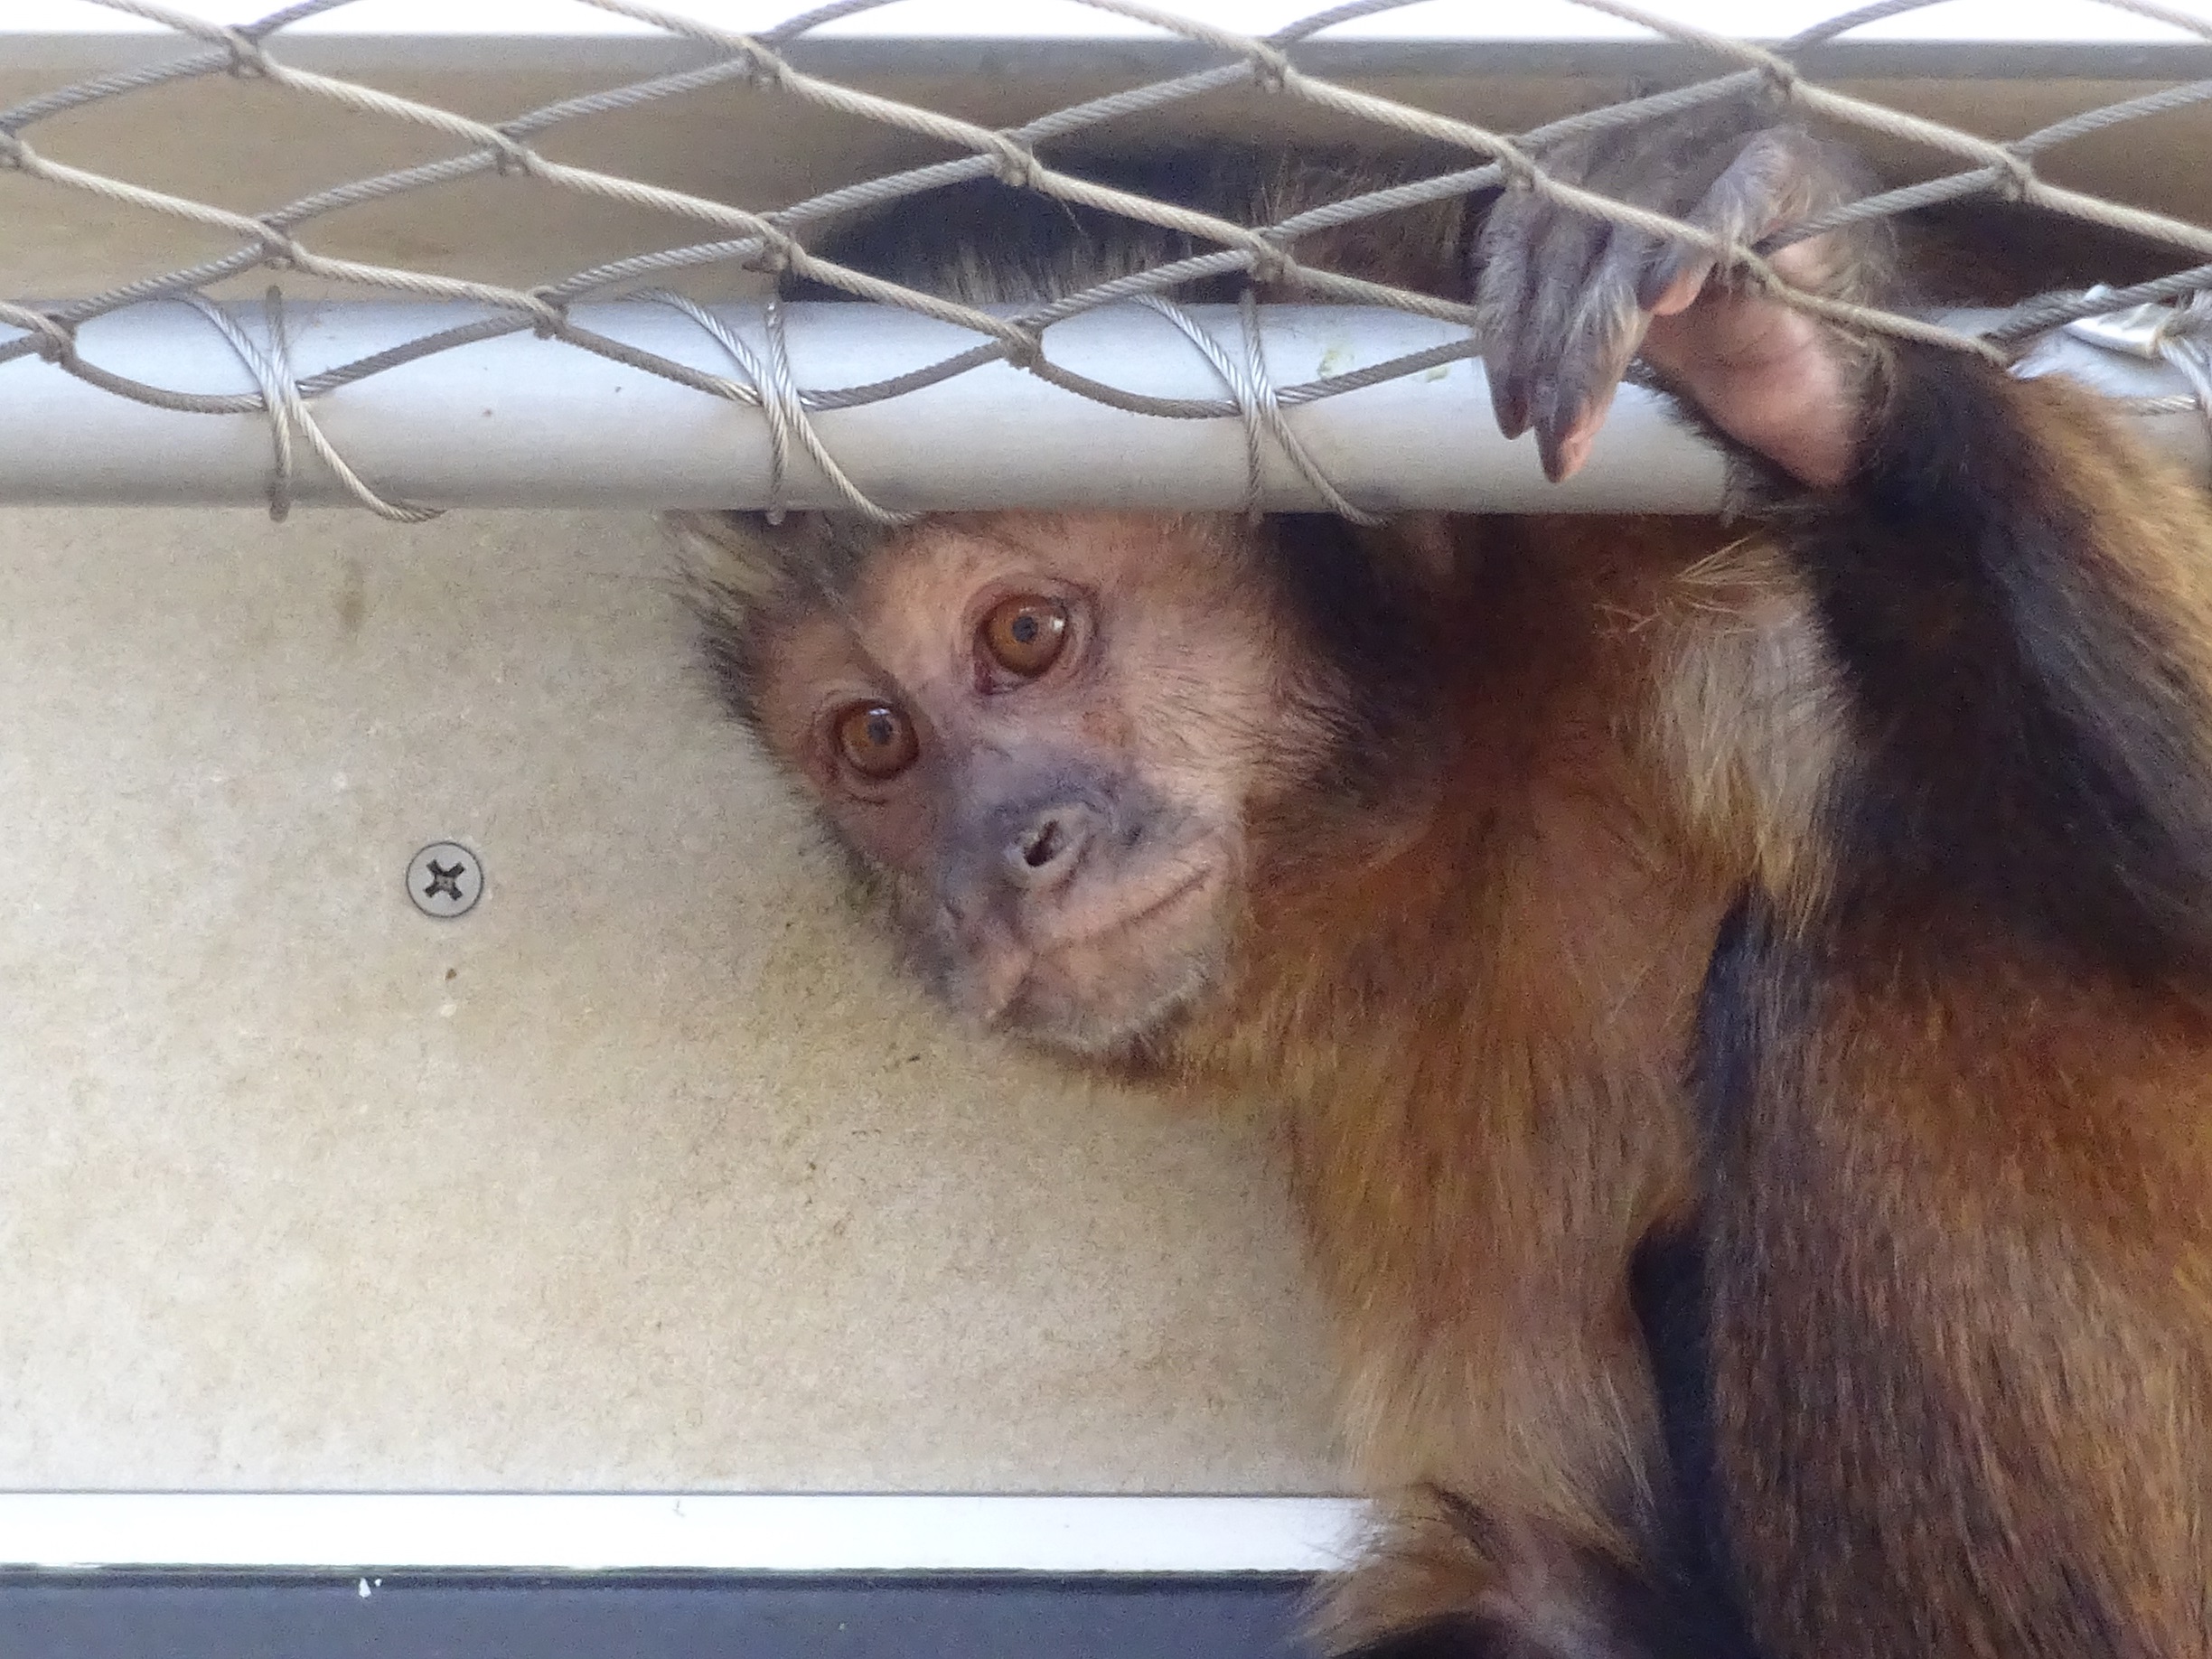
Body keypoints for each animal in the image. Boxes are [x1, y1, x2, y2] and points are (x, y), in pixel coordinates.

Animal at [663, 104, 2212, 1659]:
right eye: (876, 740)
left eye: (1026, 635)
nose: (1005, 855)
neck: (1497, 725)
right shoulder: (1396, 1073)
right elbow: (1527, 1566)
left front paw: (1815, 372)